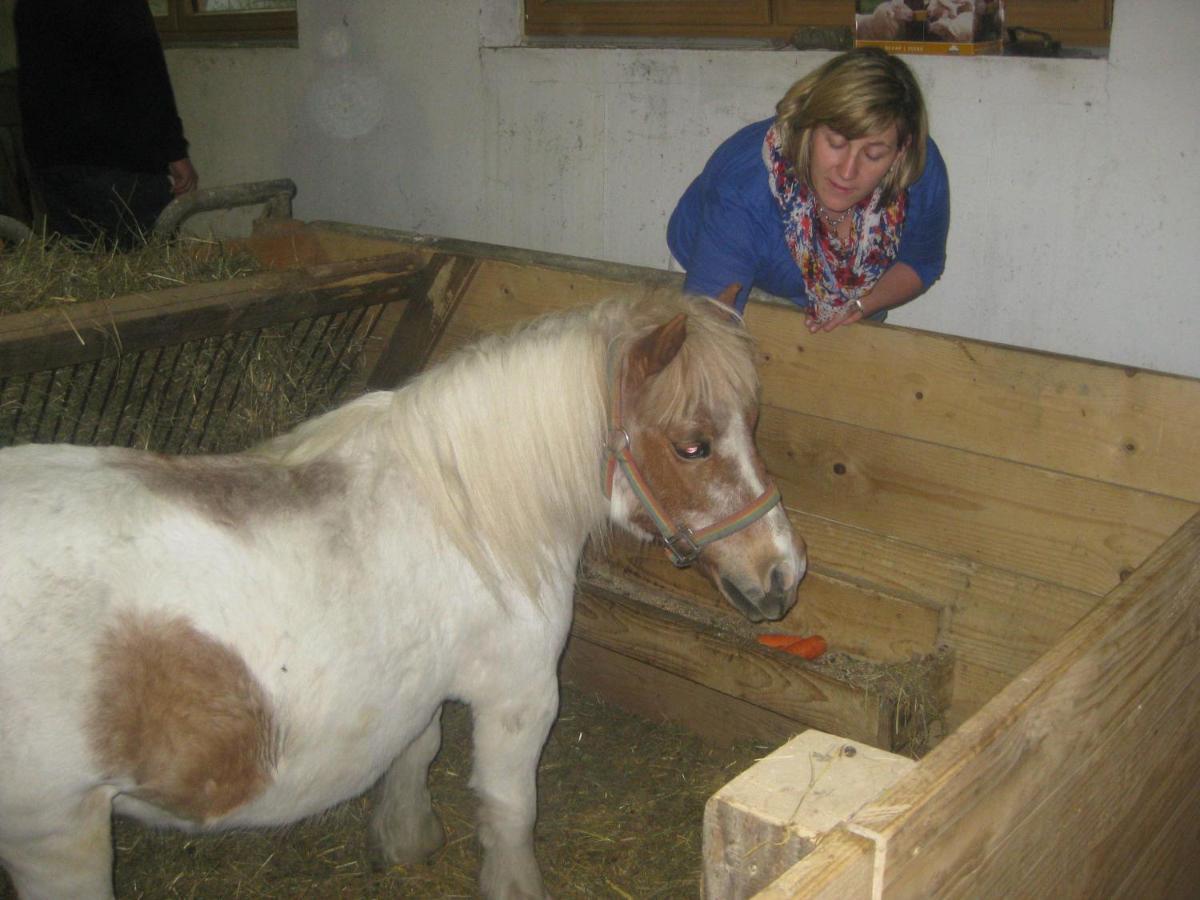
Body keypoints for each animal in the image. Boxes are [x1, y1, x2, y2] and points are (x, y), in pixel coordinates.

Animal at [2, 286, 806, 900]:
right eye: (693, 446)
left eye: (753, 425)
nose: (783, 573)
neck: (466, 512)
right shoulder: (519, 698)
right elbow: (510, 811)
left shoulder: (417, 687)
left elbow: (415, 755)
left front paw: (406, 839)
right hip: (59, 837)